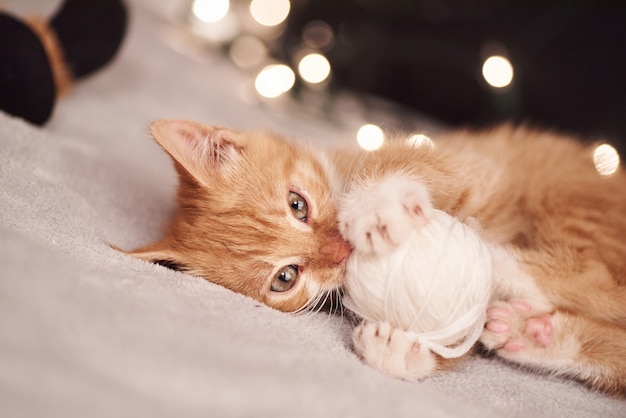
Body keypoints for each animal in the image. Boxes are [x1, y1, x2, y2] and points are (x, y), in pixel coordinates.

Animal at [123, 118, 624, 396]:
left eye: (297, 204)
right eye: (286, 277)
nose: (341, 251)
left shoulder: (474, 165)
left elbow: (408, 165)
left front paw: (376, 205)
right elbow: (459, 338)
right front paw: (400, 352)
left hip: (565, 197)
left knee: (599, 280)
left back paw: (493, 259)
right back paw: (532, 332)